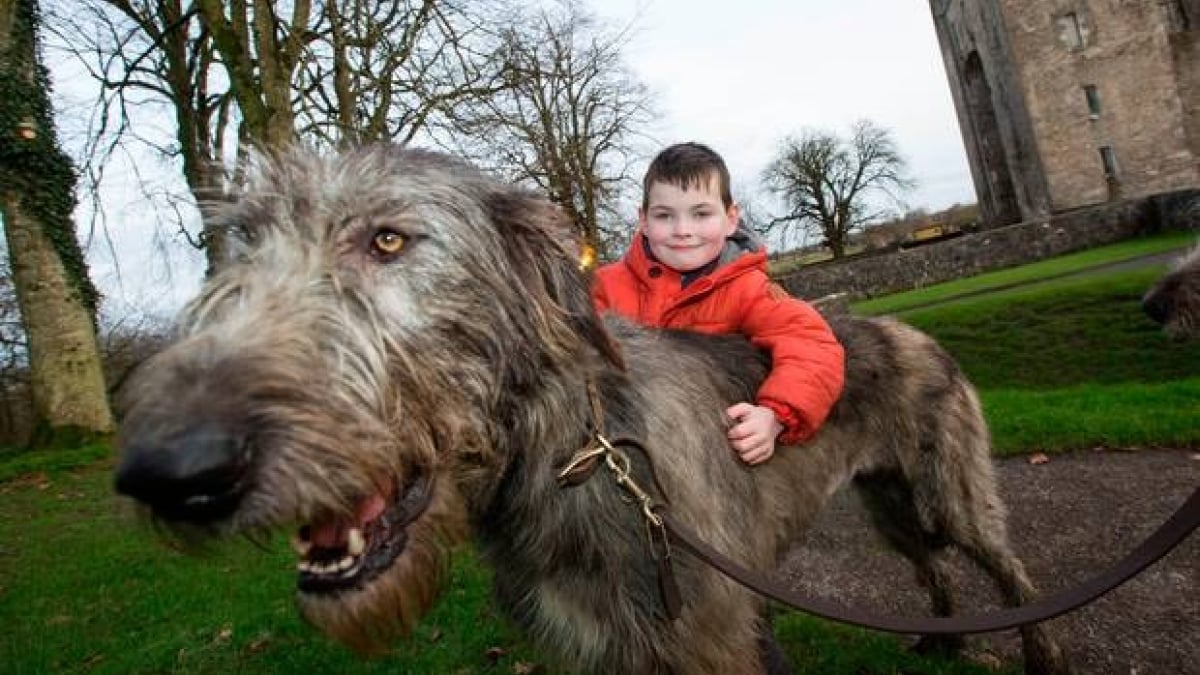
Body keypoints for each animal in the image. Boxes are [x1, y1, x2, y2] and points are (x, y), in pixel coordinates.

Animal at [114, 147, 1070, 672]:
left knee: (1009, 573)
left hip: (950, 489)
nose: (168, 470)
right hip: (889, 505)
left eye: (388, 239)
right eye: (242, 244)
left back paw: (1040, 652)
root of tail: (921, 332)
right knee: (930, 566)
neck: (575, 458)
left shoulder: (707, 636)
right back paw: (946, 638)